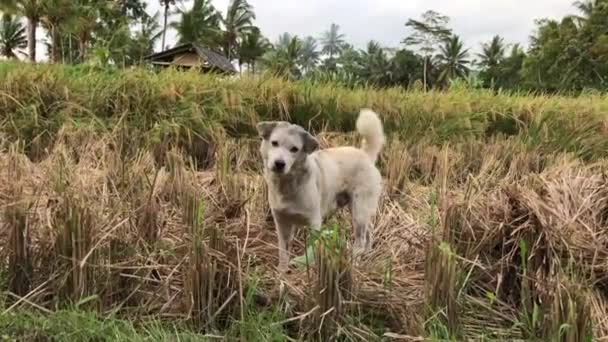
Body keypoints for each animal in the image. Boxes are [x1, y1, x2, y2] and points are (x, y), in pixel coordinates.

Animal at [256, 108, 384, 272]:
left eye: (294, 149)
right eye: (274, 143)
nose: (279, 163)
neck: (287, 186)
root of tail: (366, 155)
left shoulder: (314, 222)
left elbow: (311, 249)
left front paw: (307, 266)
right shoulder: (281, 223)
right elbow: (283, 251)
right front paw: (282, 272)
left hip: (359, 211)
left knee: (360, 240)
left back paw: (354, 263)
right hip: (360, 212)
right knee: (368, 233)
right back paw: (365, 257)